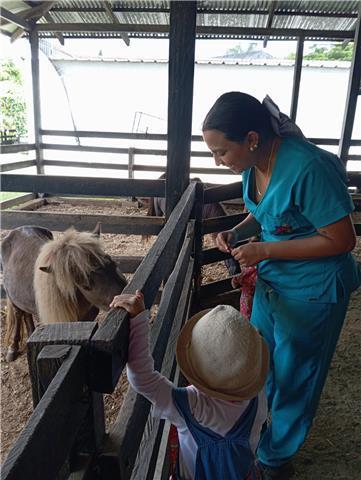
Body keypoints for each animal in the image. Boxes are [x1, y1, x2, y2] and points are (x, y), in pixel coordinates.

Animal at [0, 224, 127, 360]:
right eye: (85, 285)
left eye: (112, 263)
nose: (123, 291)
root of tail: (18, 229)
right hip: (12, 298)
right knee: (18, 314)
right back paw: (13, 348)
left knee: (26, 314)